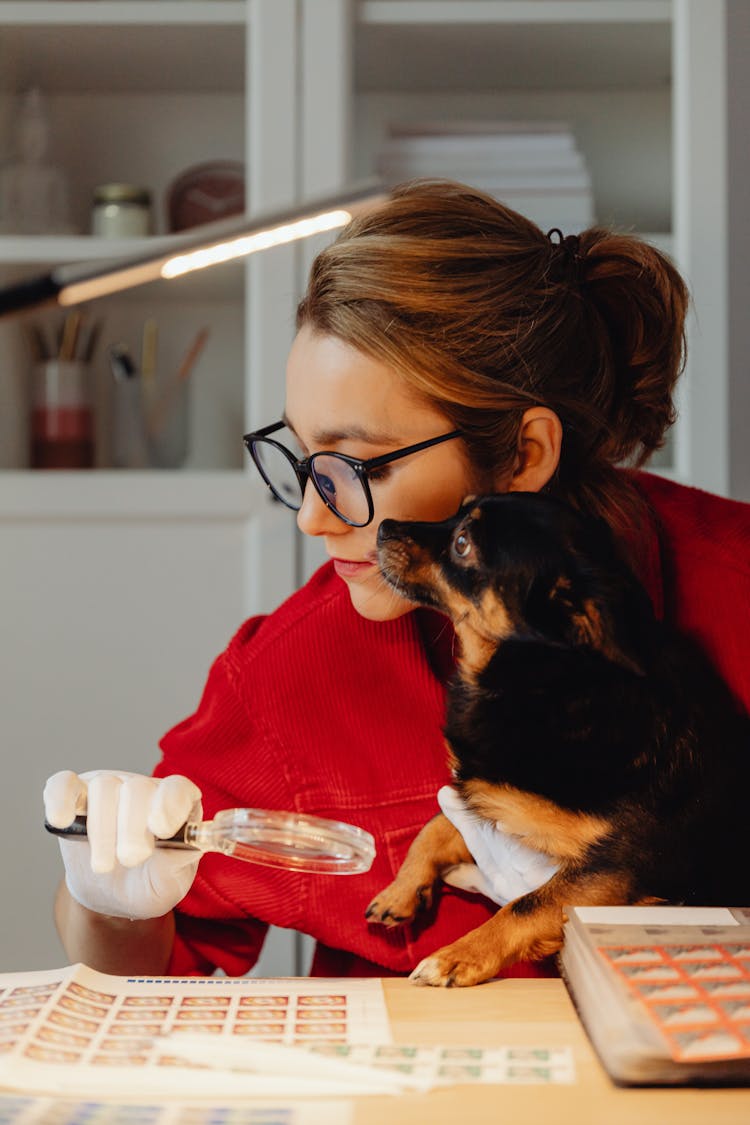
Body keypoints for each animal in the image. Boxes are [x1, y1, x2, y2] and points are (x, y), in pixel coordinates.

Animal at [364, 492, 750, 985]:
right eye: (458, 509)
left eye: (462, 544)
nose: (384, 526)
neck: (548, 681)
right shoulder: (486, 798)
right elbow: (437, 823)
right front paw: (401, 889)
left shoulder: (617, 867)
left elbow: (525, 904)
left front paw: (458, 956)